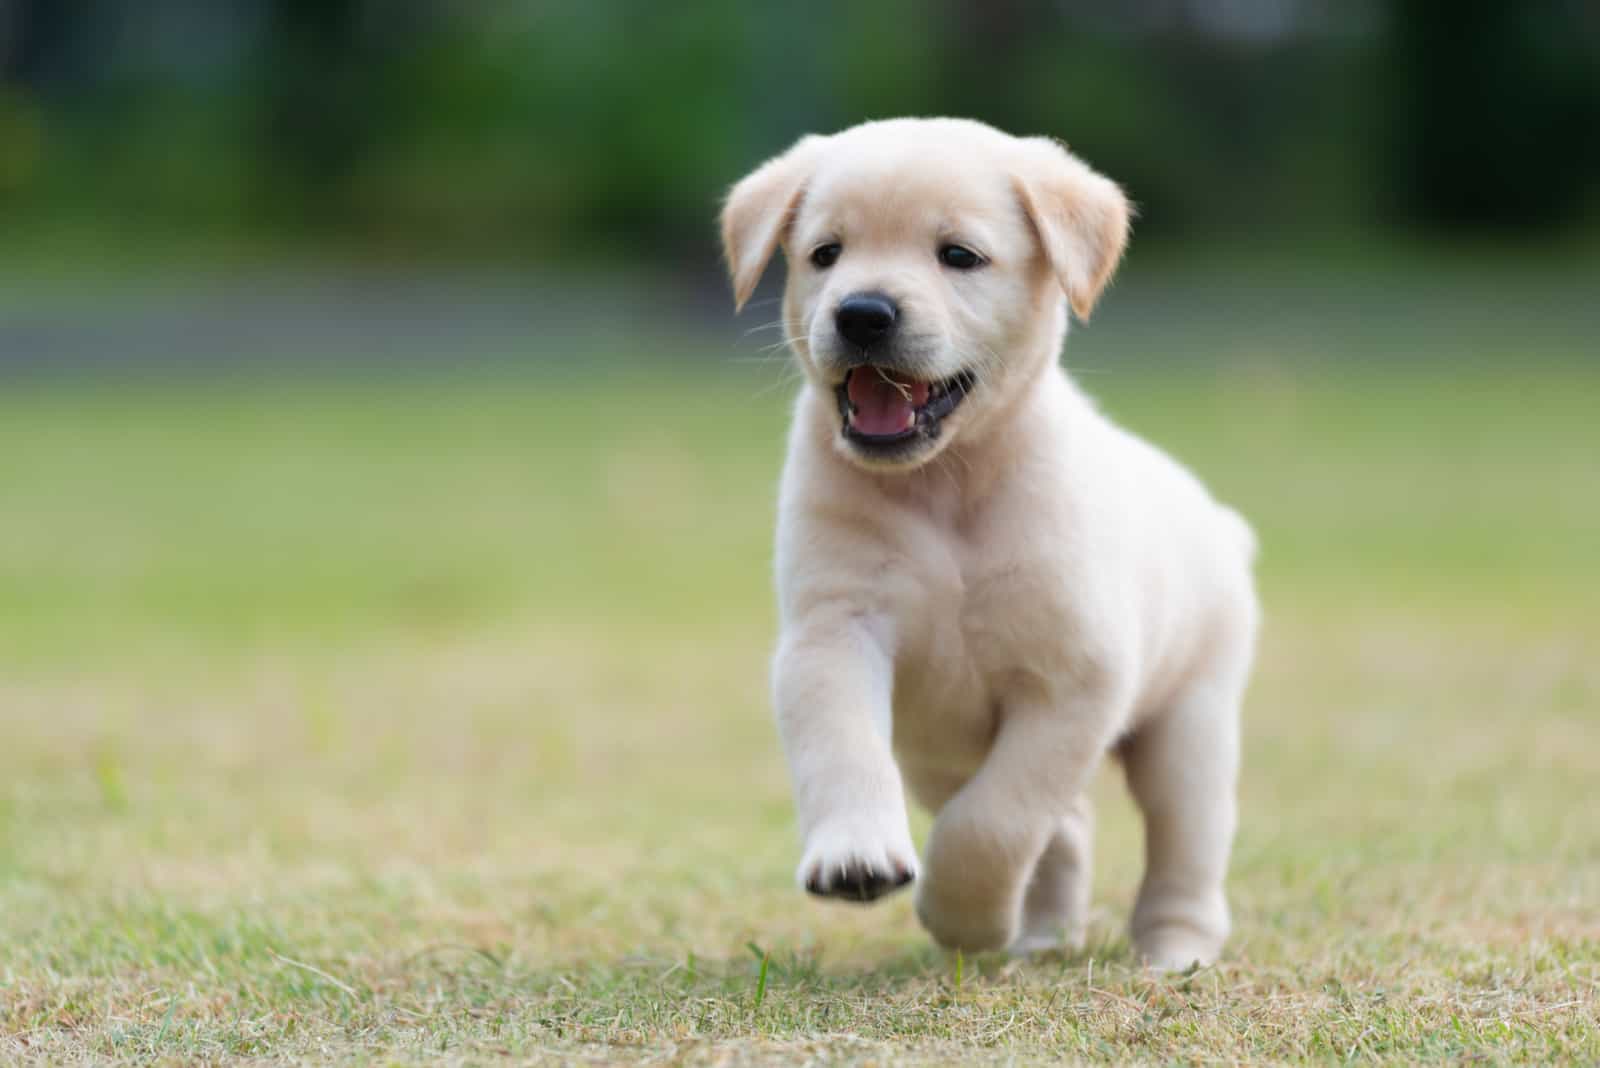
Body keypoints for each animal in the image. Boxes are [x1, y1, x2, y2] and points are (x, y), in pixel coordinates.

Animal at [720, 116, 1254, 965]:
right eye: (825, 253)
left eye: (959, 256)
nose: (862, 312)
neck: (948, 486)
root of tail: (1219, 523)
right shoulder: (833, 632)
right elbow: (843, 747)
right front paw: (858, 856)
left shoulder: (1074, 682)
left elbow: (996, 820)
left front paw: (962, 915)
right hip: (935, 753)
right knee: (1066, 829)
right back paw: (1042, 934)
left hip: (1191, 726)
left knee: (1182, 847)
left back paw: (1175, 951)